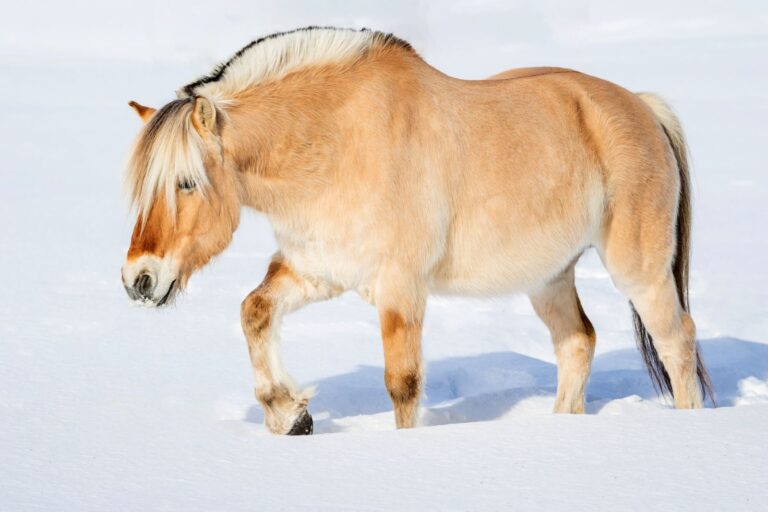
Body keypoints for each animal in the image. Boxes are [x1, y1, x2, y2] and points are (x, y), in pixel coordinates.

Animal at [121, 27, 712, 436]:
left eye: (186, 182)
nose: (139, 281)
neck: (339, 144)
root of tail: (642, 106)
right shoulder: (318, 271)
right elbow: (254, 311)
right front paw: (290, 415)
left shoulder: (400, 287)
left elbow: (402, 385)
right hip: (548, 277)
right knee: (577, 343)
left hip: (639, 270)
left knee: (677, 341)